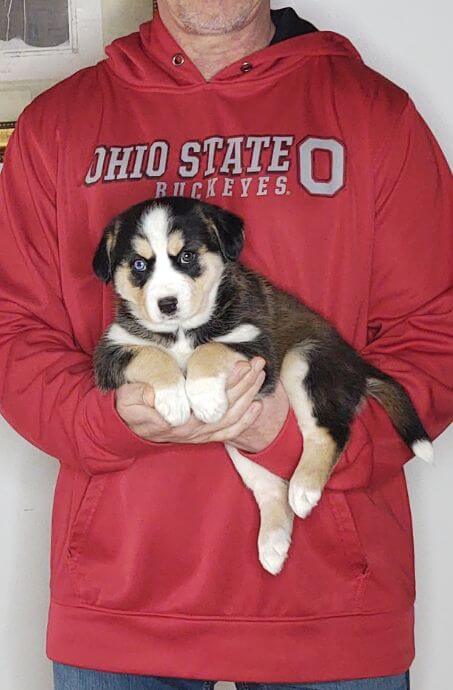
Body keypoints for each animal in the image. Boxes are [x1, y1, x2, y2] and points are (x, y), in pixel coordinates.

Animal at [91, 195, 430, 576]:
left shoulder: (253, 345)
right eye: (139, 264)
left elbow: (209, 349)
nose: (167, 304)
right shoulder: (112, 351)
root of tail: (358, 366)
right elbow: (151, 355)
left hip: (303, 361)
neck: (181, 331)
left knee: (330, 433)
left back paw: (304, 490)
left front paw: (202, 396)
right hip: (240, 442)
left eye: (187, 256)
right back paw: (273, 544)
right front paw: (174, 399)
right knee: (269, 487)